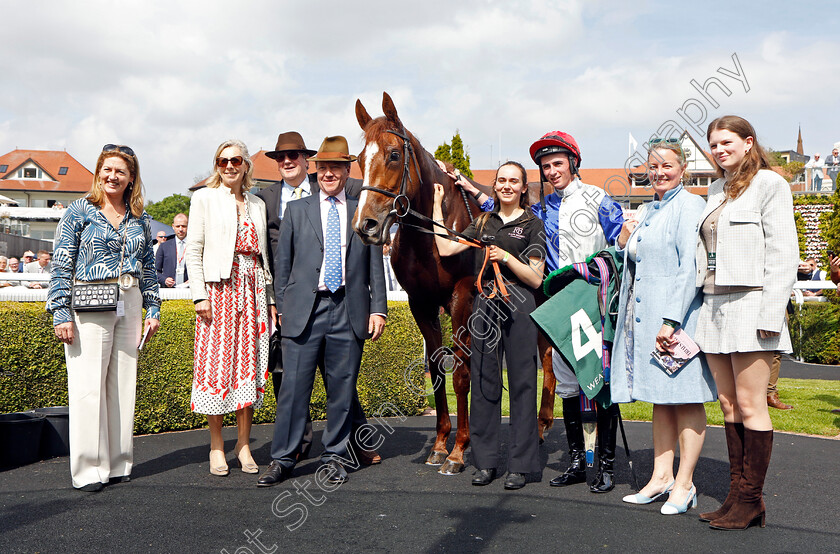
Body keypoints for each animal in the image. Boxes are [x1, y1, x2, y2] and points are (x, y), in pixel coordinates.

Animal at [354, 92, 556, 472]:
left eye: (393, 154)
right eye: (360, 159)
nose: (366, 225)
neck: (435, 234)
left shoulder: (462, 297)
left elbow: (461, 372)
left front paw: (459, 451)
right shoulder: (420, 303)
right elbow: (436, 368)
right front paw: (439, 444)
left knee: (549, 356)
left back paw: (542, 425)